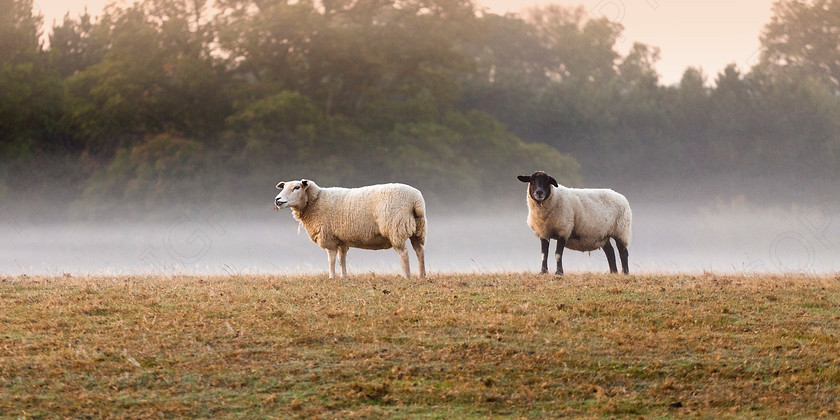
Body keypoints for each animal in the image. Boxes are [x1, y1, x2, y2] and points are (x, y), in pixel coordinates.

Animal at [276, 178, 426, 278]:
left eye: (297, 187)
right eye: (283, 187)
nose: (277, 200)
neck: (315, 201)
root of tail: (416, 200)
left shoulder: (329, 238)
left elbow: (331, 259)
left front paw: (332, 277)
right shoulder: (341, 240)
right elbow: (342, 259)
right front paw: (344, 277)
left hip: (395, 228)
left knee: (404, 253)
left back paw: (406, 276)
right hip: (418, 229)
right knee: (420, 251)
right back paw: (422, 276)